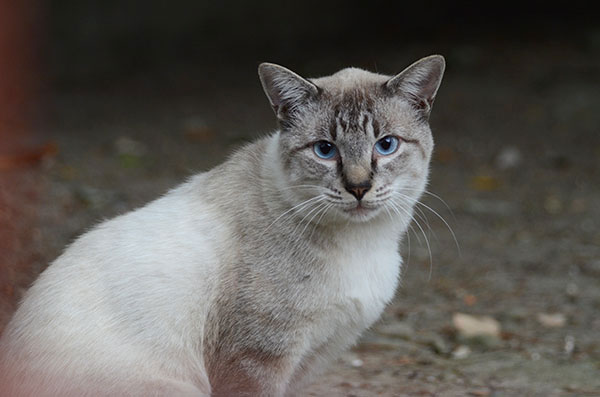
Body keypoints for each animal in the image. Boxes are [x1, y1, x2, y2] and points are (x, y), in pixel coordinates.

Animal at [0, 54, 446, 394]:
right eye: (325, 150)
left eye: (386, 146)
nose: (358, 188)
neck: (364, 243)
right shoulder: (256, 360)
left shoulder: (312, 357)